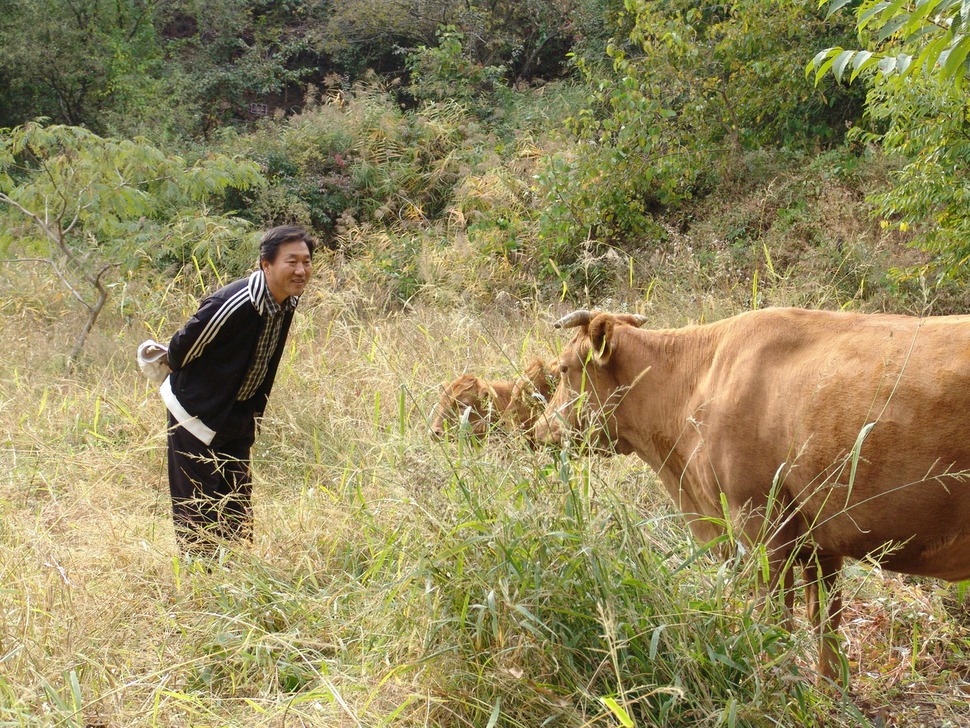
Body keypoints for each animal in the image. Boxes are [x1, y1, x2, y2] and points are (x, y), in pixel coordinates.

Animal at [536, 308, 968, 684]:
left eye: (564, 368)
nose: (538, 430)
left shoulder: (760, 523)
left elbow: (774, 617)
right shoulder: (820, 537)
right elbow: (825, 618)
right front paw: (830, 690)